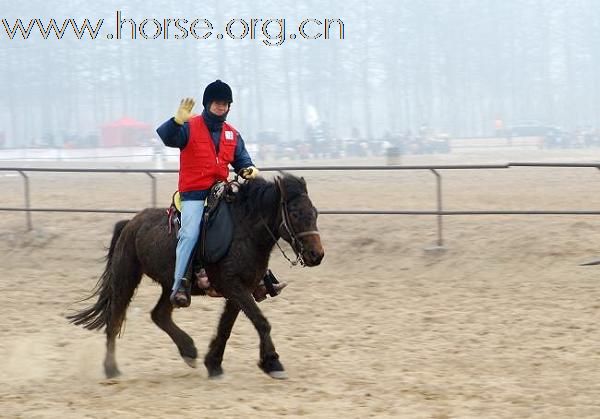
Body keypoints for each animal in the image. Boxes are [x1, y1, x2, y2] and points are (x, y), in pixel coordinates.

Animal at [67, 174, 324, 380]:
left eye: (315, 213)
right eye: (295, 213)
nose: (317, 255)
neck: (244, 231)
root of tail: (130, 223)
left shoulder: (240, 291)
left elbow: (226, 327)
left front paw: (214, 364)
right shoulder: (234, 287)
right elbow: (261, 322)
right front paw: (273, 362)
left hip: (171, 286)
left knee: (159, 315)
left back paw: (188, 351)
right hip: (126, 277)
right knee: (114, 318)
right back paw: (111, 369)